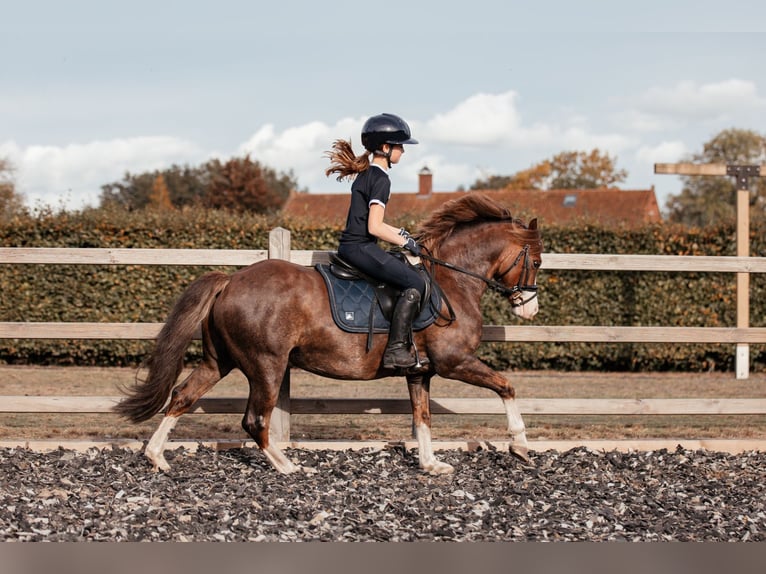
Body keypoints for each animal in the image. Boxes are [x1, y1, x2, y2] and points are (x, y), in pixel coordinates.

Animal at [114, 196, 544, 474]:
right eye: (537, 261)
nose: (530, 308)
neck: (451, 281)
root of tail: (230, 281)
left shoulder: (420, 371)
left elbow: (422, 417)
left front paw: (430, 464)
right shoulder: (454, 362)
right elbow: (507, 387)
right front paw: (520, 446)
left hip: (219, 360)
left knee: (182, 396)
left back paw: (157, 457)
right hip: (266, 366)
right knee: (254, 420)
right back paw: (289, 467)